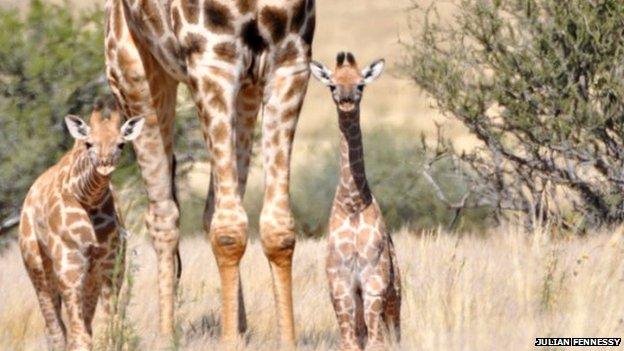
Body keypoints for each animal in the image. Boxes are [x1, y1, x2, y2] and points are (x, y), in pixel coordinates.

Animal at [18, 102, 145, 351]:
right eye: (89, 143)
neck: (88, 198)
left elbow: (112, 325)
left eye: (121, 144)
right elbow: (78, 333)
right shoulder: (69, 264)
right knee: (56, 328)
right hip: (38, 267)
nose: (105, 165)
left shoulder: (111, 264)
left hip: (90, 277)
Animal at [103, 0, 316, 346]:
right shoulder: (212, 62)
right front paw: (228, 343)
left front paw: (286, 342)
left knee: (212, 208)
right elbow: (229, 232)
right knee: (163, 215)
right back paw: (166, 335)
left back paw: (241, 327)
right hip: (133, 76)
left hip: (246, 90)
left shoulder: (290, 63)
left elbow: (278, 230)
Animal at [310, 53, 402, 351]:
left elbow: (376, 342)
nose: (347, 101)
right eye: (332, 85)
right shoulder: (340, 284)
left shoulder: (374, 280)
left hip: (395, 300)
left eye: (361, 84)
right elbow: (349, 341)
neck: (352, 203)